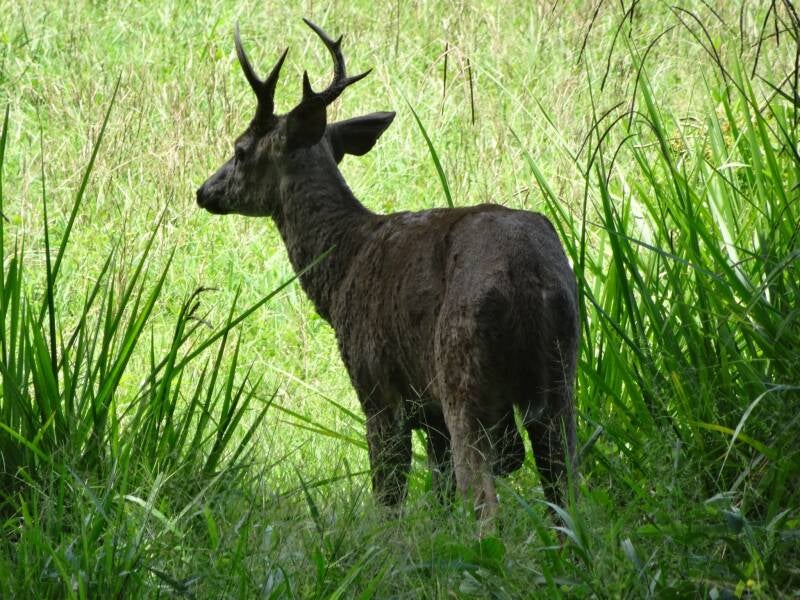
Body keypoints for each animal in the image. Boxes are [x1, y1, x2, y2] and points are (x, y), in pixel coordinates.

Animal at [196, 18, 580, 524]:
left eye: (240, 149)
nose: (204, 191)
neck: (342, 267)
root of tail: (527, 278)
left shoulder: (376, 385)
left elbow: (389, 497)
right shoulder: (429, 411)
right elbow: (439, 496)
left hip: (463, 372)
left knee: (484, 501)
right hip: (561, 379)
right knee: (568, 496)